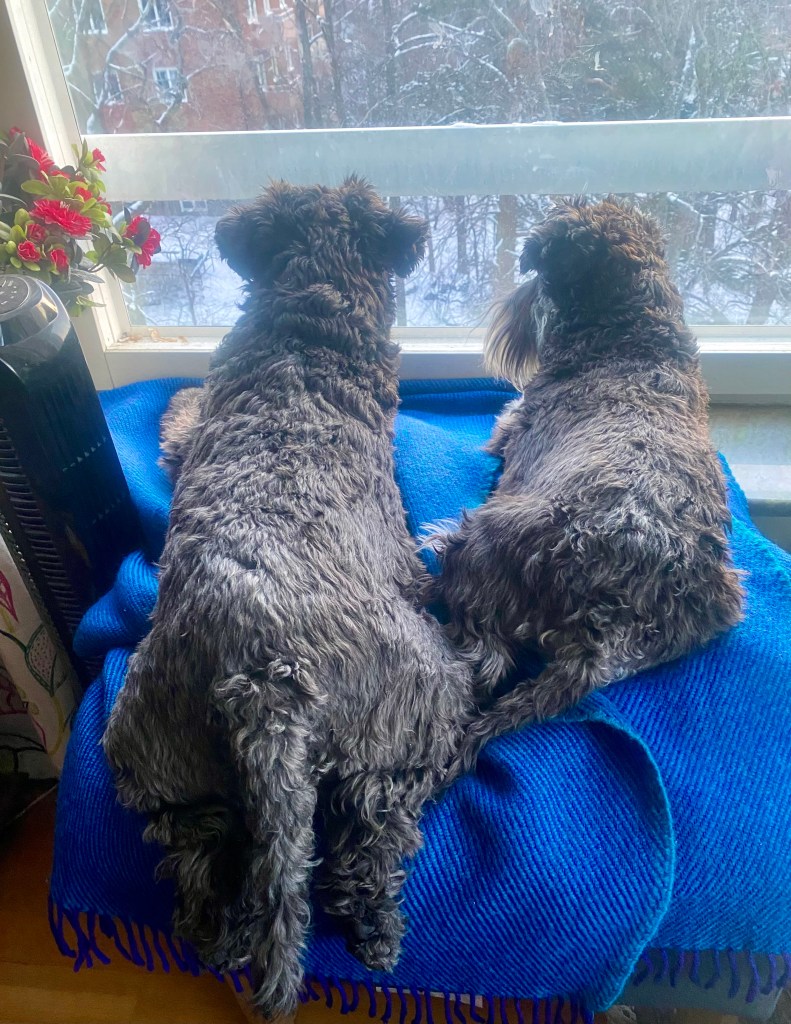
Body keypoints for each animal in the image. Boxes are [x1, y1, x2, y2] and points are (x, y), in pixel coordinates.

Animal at [102, 177, 474, 1018]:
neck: (309, 309)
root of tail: (265, 681)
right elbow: (180, 408)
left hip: (158, 764)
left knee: (211, 865)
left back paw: (225, 929)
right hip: (425, 706)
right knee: (372, 833)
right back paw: (377, 929)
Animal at [429, 197, 744, 769]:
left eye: (539, 279)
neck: (633, 338)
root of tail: (604, 629)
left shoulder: (512, 423)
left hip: (481, 537)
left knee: (479, 655)